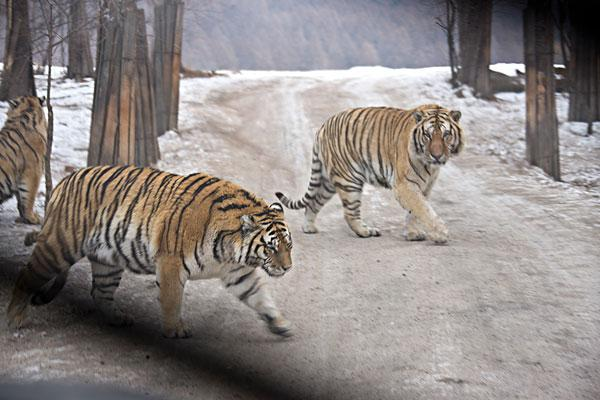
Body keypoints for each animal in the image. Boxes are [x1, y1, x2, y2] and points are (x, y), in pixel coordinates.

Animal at [5, 166, 294, 338]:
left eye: (288, 245)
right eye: (271, 247)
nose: (287, 267)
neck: (229, 250)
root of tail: (65, 181)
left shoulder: (237, 273)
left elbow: (259, 296)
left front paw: (279, 323)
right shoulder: (171, 263)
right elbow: (172, 300)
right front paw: (175, 330)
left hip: (107, 260)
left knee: (100, 292)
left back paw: (117, 319)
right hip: (59, 246)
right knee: (27, 275)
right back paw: (15, 318)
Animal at [276, 104, 464, 244]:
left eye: (446, 134)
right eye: (427, 135)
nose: (437, 156)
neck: (430, 166)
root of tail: (323, 126)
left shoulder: (425, 186)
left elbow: (416, 211)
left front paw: (413, 233)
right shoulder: (405, 184)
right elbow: (423, 209)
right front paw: (440, 234)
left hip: (328, 182)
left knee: (313, 203)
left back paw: (309, 228)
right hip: (349, 180)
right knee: (349, 213)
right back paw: (366, 231)